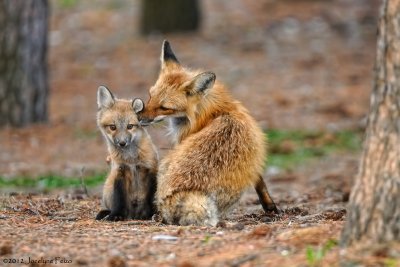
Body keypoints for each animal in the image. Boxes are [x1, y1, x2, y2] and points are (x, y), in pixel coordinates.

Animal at [139, 41, 276, 226]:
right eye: (150, 96)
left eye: (165, 107)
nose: (138, 117)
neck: (215, 111)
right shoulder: (254, 160)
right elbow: (260, 181)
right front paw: (270, 207)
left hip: (165, 163)